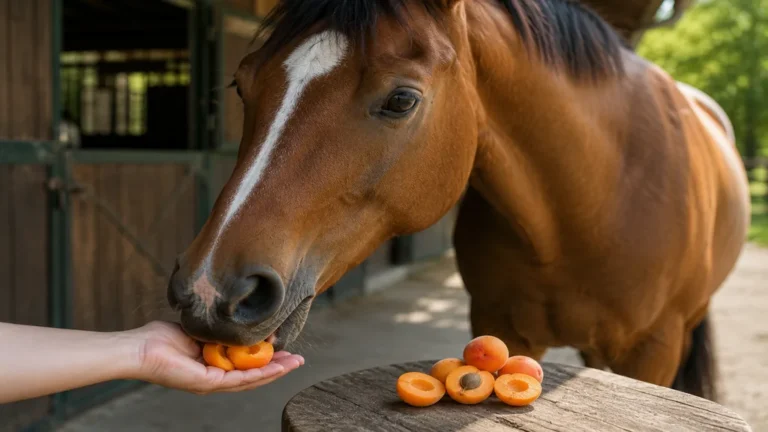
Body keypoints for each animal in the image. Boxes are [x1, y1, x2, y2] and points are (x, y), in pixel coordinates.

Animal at [167, 0, 750, 401]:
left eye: (402, 99)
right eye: (241, 85)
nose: (210, 292)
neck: (593, 201)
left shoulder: (652, 352)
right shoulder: (503, 327)